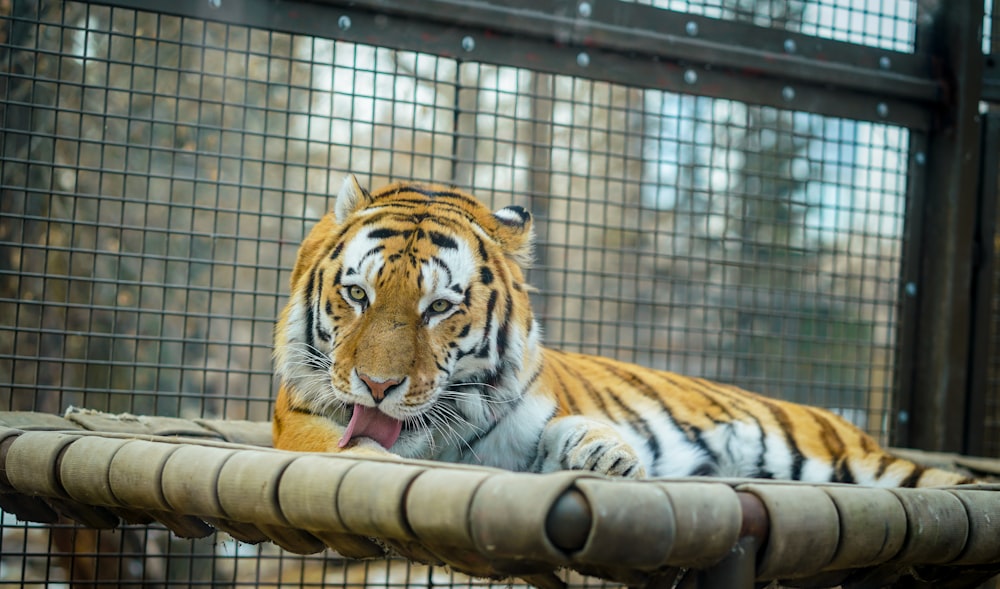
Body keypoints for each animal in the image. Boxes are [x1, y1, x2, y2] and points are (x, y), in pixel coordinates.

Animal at [274, 176, 976, 486]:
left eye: (440, 308)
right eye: (357, 295)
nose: (377, 385)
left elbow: (570, 429)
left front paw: (606, 453)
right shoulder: (300, 426)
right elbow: (353, 450)